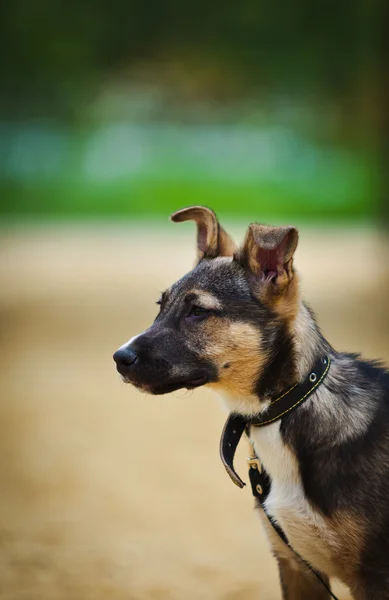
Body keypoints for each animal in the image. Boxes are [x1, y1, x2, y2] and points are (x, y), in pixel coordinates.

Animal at [113, 206, 388, 600]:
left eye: (198, 311)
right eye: (160, 306)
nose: (119, 358)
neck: (286, 410)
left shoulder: (373, 577)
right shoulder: (297, 566)